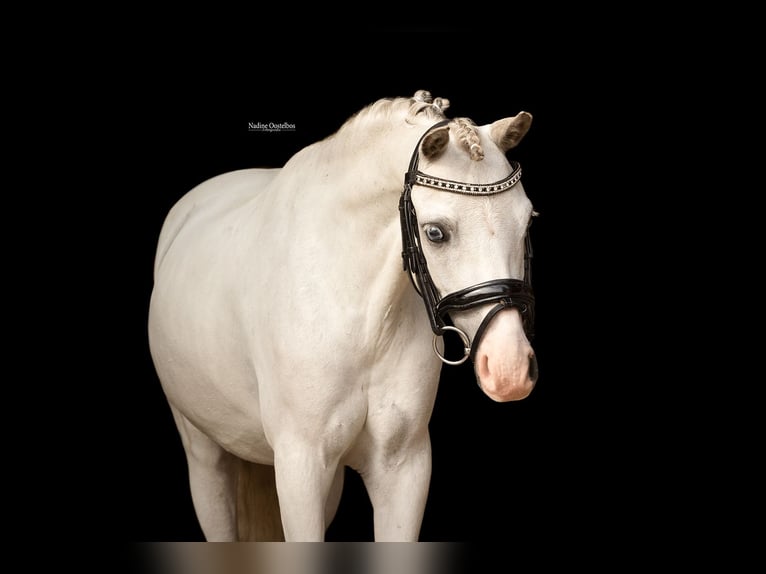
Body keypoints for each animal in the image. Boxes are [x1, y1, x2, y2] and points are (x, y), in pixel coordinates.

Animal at [147, 89, 539, 542]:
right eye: (436, 232)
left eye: (527, 221)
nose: (509, 369)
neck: (362, 322)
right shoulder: (300, 465)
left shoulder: (403, 468)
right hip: (204, 452)